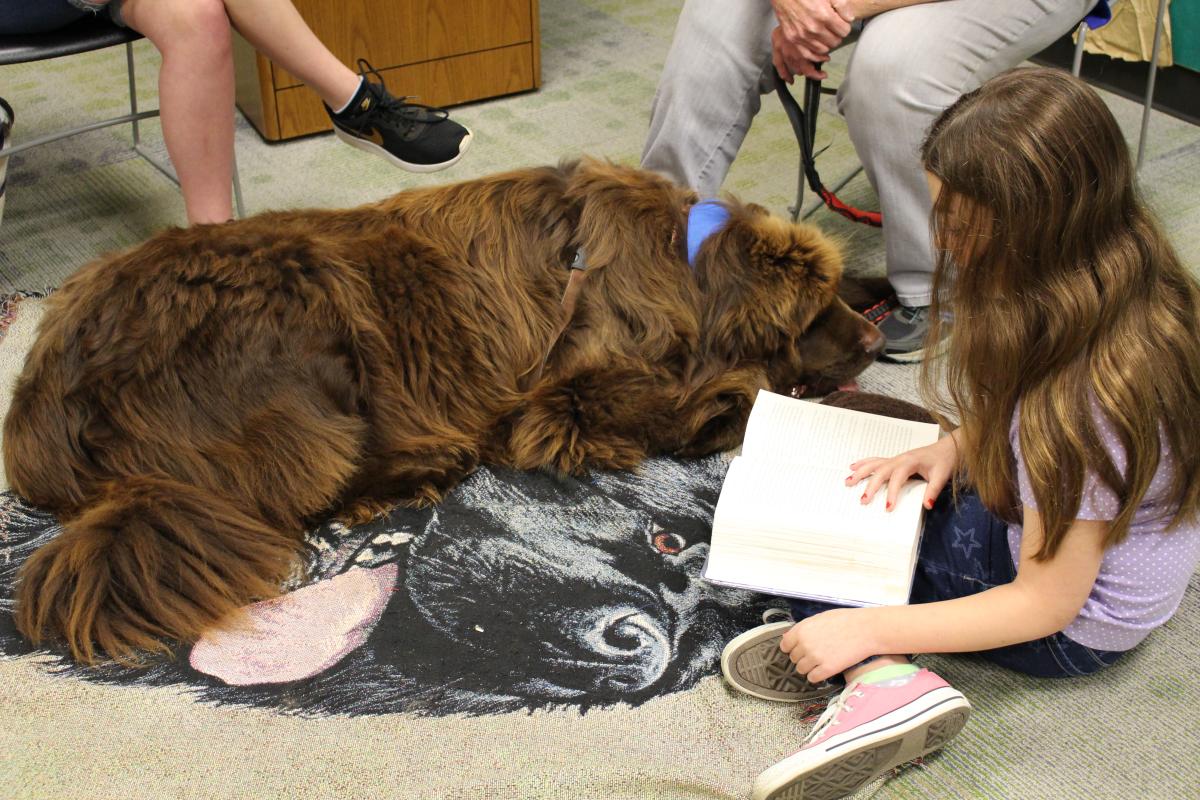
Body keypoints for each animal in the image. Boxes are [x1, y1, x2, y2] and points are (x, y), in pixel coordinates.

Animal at [2, 158, 883, 662]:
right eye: (813, 315)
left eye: (834, 295)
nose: (874, 340)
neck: (688, 267)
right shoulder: (566, 404)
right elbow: (712, 400)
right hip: (304, 308)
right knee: (303, 486)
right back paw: (426, 465)